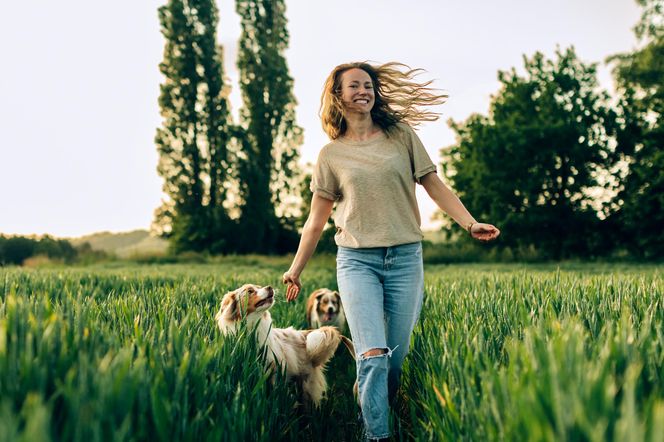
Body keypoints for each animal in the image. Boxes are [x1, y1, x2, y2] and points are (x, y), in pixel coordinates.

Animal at [217, 284, 352, 406]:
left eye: (259, 286)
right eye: (250, 291)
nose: (269, 287)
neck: (253, 327)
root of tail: (303, 334)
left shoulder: (274, 369)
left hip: (307, 383)